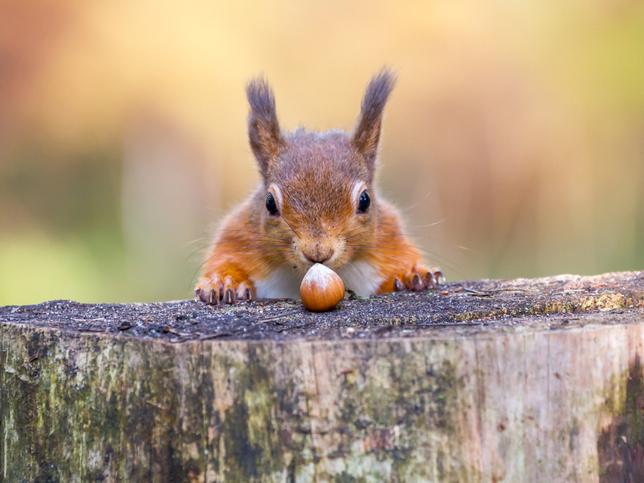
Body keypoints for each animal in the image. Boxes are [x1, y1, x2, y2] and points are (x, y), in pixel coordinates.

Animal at [194, 70, 440, 304]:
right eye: (269, 203)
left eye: (365, 200)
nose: (318, 252)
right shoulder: (238, 236)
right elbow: (226, 258)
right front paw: (224, 282)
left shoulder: (389, 237)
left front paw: (411, 274)